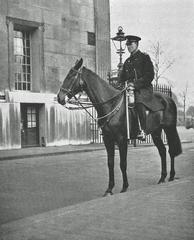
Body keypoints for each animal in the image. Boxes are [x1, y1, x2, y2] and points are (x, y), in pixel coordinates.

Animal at [57, 59, 182, 196]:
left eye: (71, 76)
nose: (59, 97)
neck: (111, 104)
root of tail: (168, 99)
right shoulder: (108, 140)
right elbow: (110, 163)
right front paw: (109, 189)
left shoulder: (122, 140)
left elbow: (123, 163)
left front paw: (124, 187)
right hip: (156, 132)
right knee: (162, 151)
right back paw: (162, 178)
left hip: (169, 129)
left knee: (171, 151)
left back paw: (171, 176)